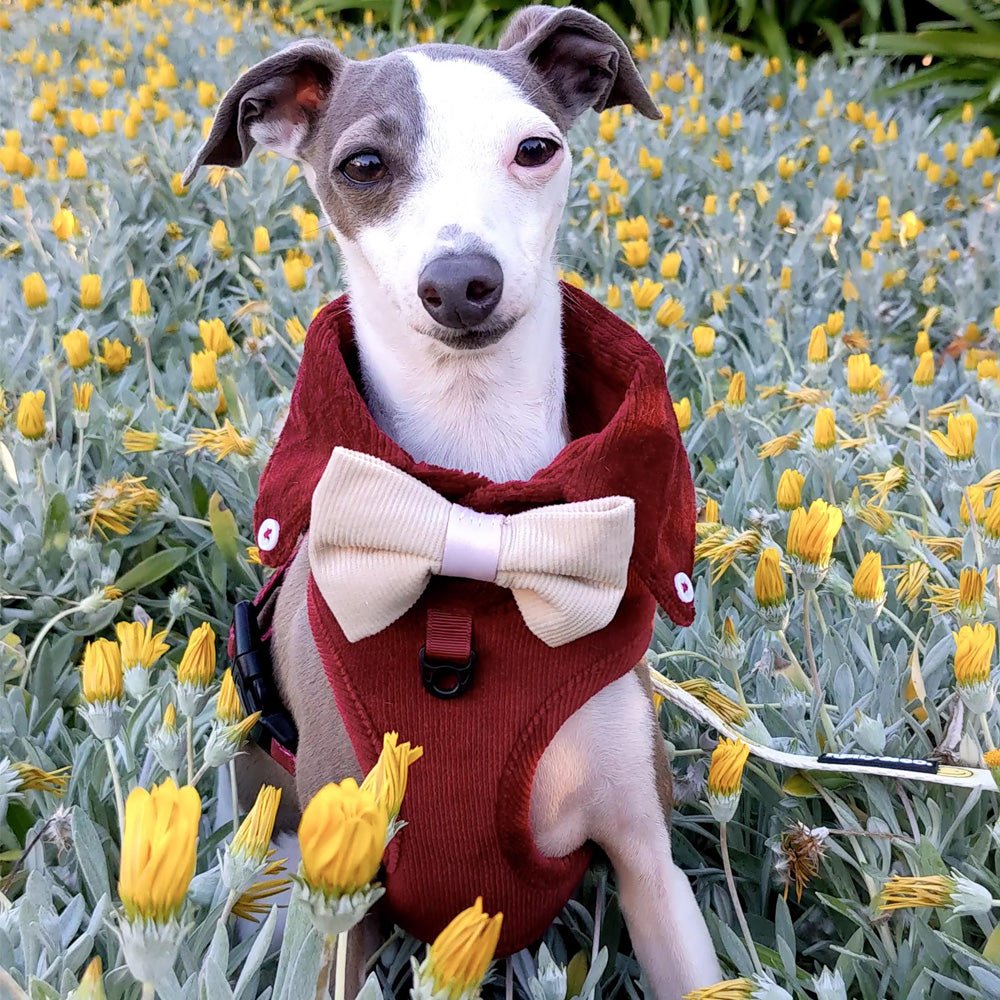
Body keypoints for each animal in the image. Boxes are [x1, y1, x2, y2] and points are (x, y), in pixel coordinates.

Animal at [184, 9, 724, 1000]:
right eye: (363, 164)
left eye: (535, 148)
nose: (462, 281)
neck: (473, 515)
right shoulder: (341, 892)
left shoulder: (647, 862)